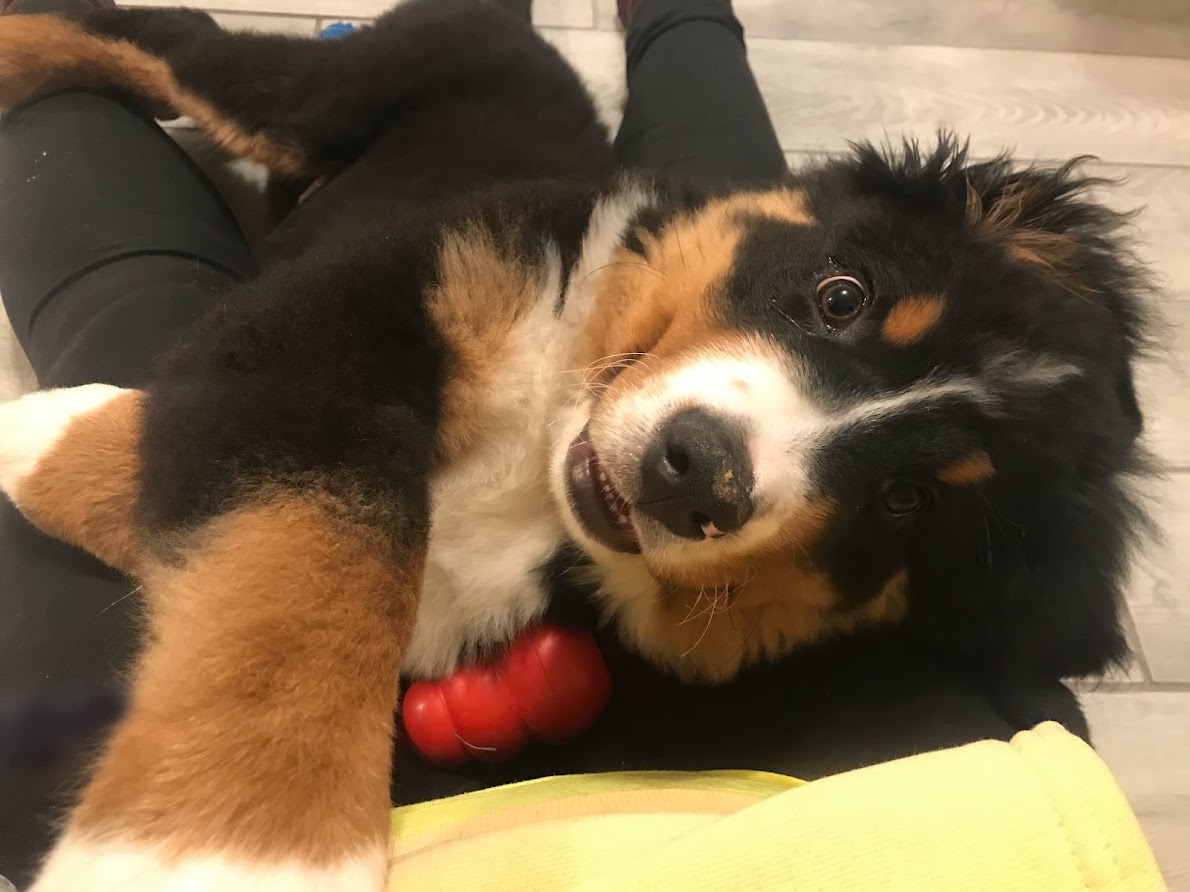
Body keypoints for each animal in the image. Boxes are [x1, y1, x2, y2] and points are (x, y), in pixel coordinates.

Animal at [0, 0, 1156, 889]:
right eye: (842, 295)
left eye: (909, 502)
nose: (691, 474)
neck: (546, 449)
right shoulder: (345, 312)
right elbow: (310, 571)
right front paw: (223, 850)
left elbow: (287, 544)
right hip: (324, 91)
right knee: (160, 40)